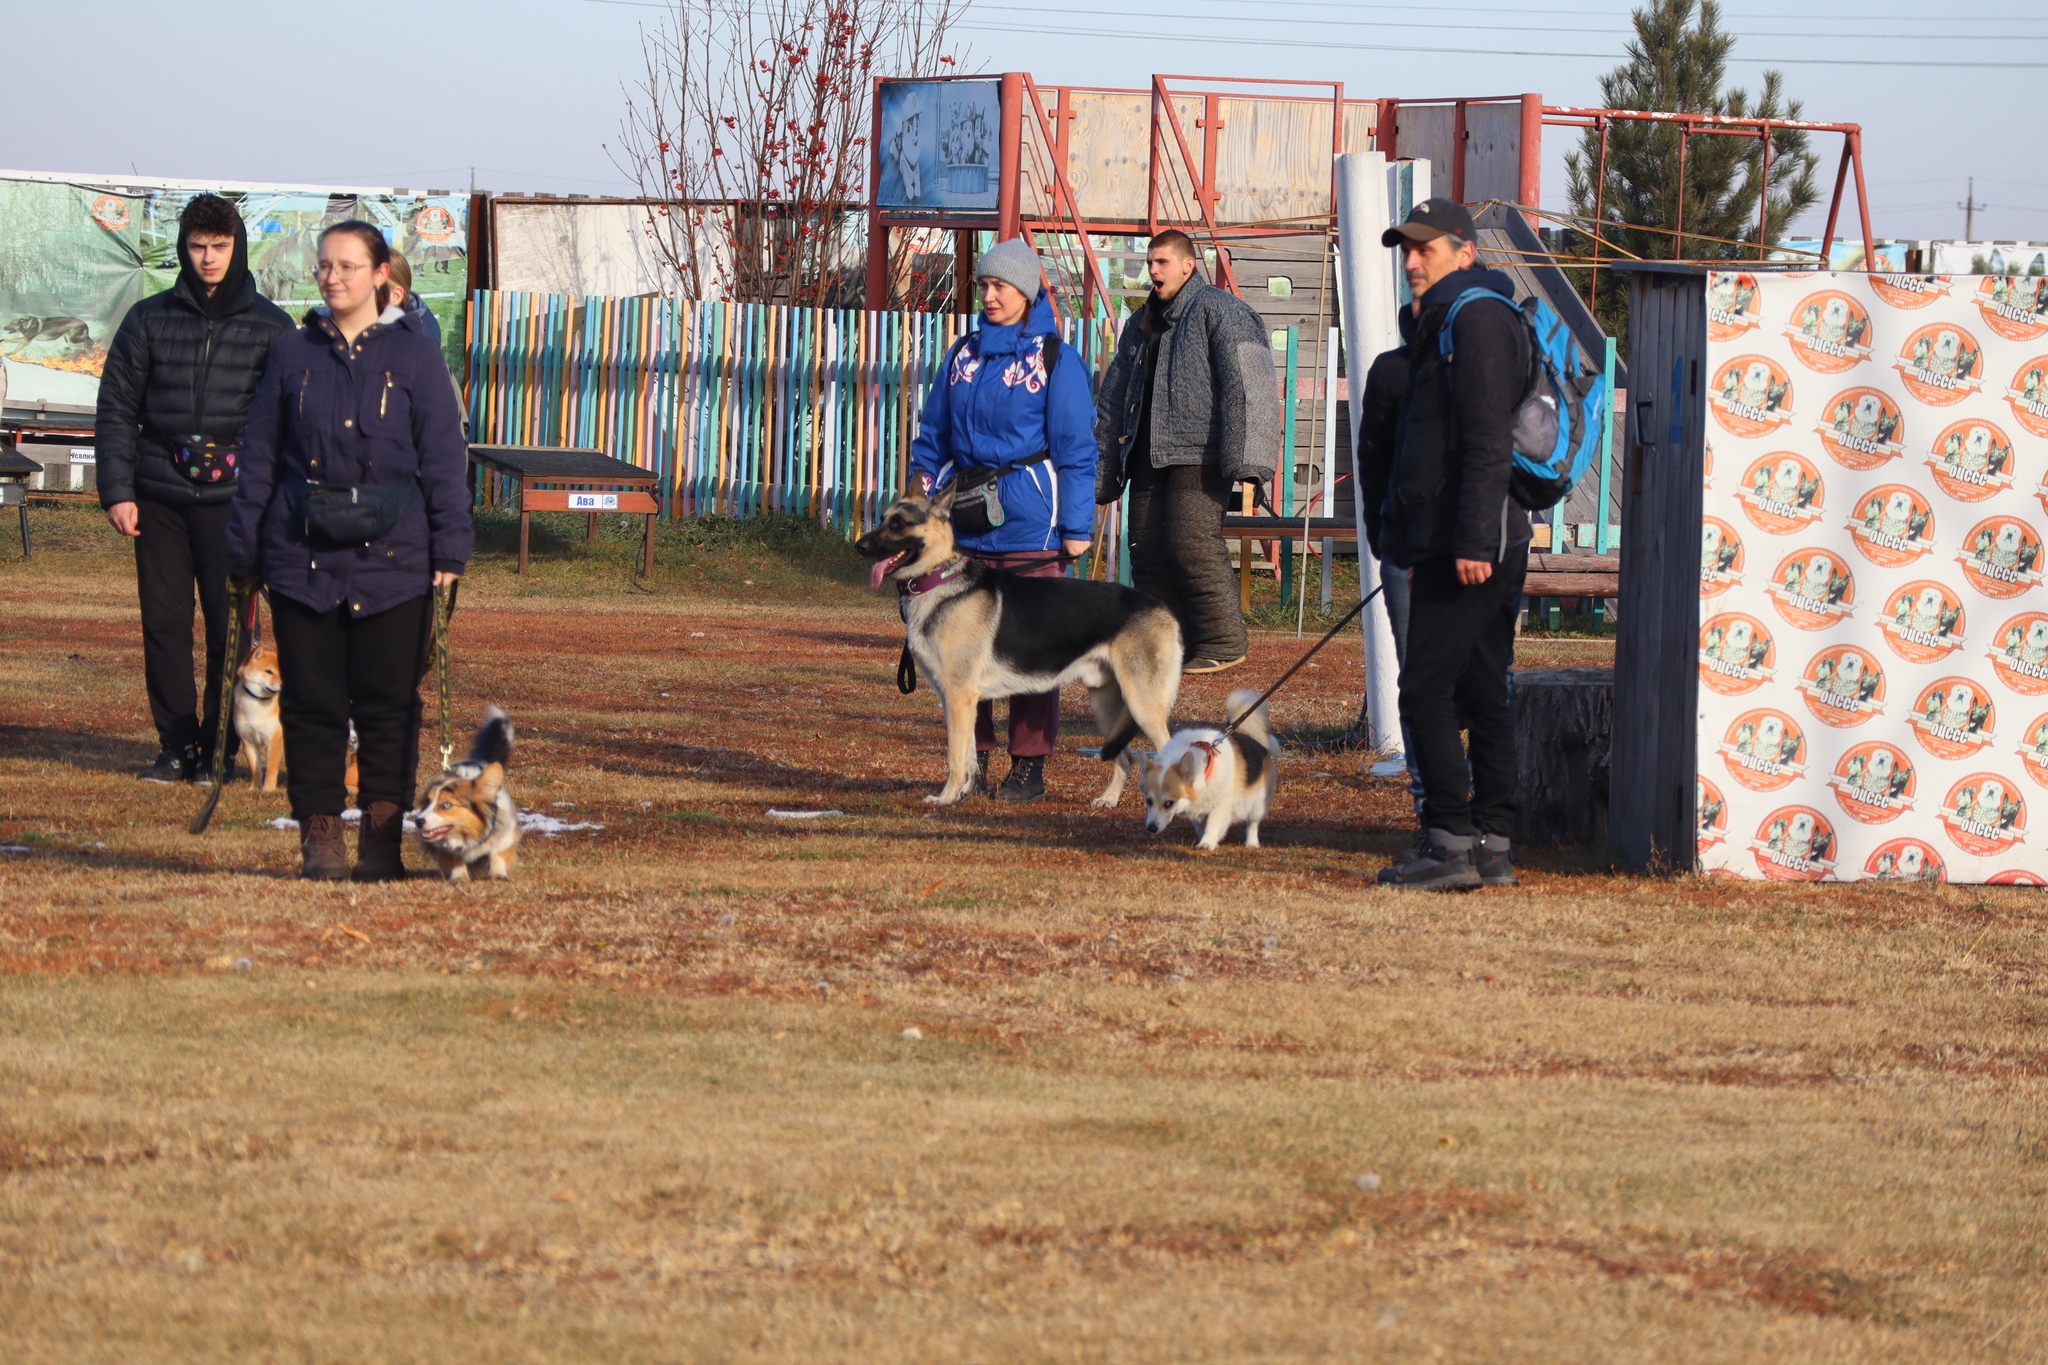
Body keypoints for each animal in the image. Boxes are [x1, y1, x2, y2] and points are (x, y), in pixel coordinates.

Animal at [234, 646, 286, 794]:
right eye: (268, 671)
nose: (283, 686)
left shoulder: (274, 740)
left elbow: (271, 769)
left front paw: (268, 789)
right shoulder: (248, 742)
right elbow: (255, 769)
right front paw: (254, 788)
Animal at [409, 712, 520, 879]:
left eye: (446, 805)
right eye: (428, 802)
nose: (418, 822)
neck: (468, 835)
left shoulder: (506, 836)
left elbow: (498, 855)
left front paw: (498, 874)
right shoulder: (445, 848)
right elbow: (454, 860)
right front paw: (459, 877)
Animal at [851, 485, 1187, 806]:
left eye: (899, 524)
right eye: (883, 519)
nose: (859, 546)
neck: (941, 578)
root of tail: (1165, 608)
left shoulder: (959, 697)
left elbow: (955, 757)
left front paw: (946, 798)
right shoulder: (958, 701)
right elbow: (969, 756)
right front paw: (962, 794)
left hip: (1142, 705)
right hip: (1106, 707)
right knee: (1125, 758)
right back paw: (1109, 800)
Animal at [1138, 687, 1277, 847]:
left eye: (1169, 803)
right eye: (1148, 801)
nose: (1151, 828)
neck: (1204, 771)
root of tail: (1245, 733)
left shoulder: (1220, 807)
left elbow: (1213, 825)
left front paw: (1206, 844)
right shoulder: (1196, 811)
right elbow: (1201, 827)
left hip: (1258, 803)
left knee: (1252, 823)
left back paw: (1252, 843)